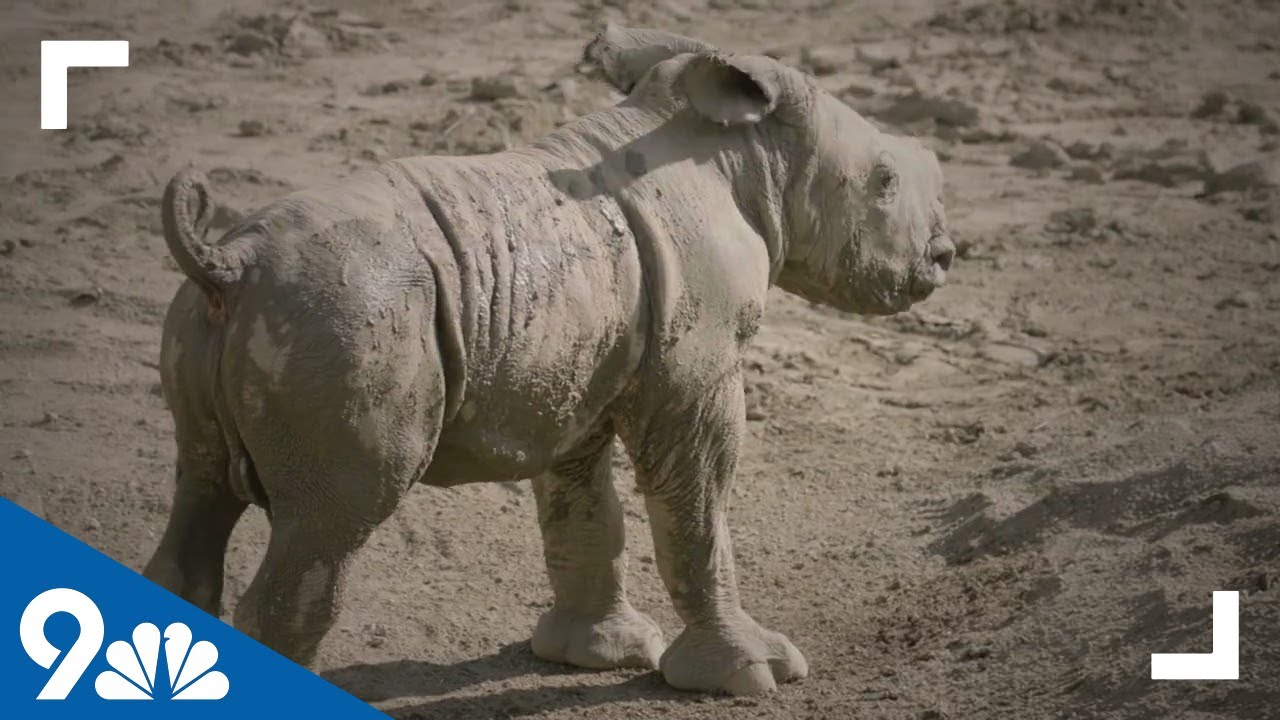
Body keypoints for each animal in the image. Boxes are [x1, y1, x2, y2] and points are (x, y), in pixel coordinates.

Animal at [143, 25, 953, 695]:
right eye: (884, 181)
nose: (945, 256)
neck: (748, 157)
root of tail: (231, 265)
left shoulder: (573, 376)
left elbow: (583, 507)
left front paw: (591, 655)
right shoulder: (696, 374)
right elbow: (702, 505)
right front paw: (754, 674)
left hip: (221, 326)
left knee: (201, 485)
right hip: (340, 322)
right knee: (331, 523)